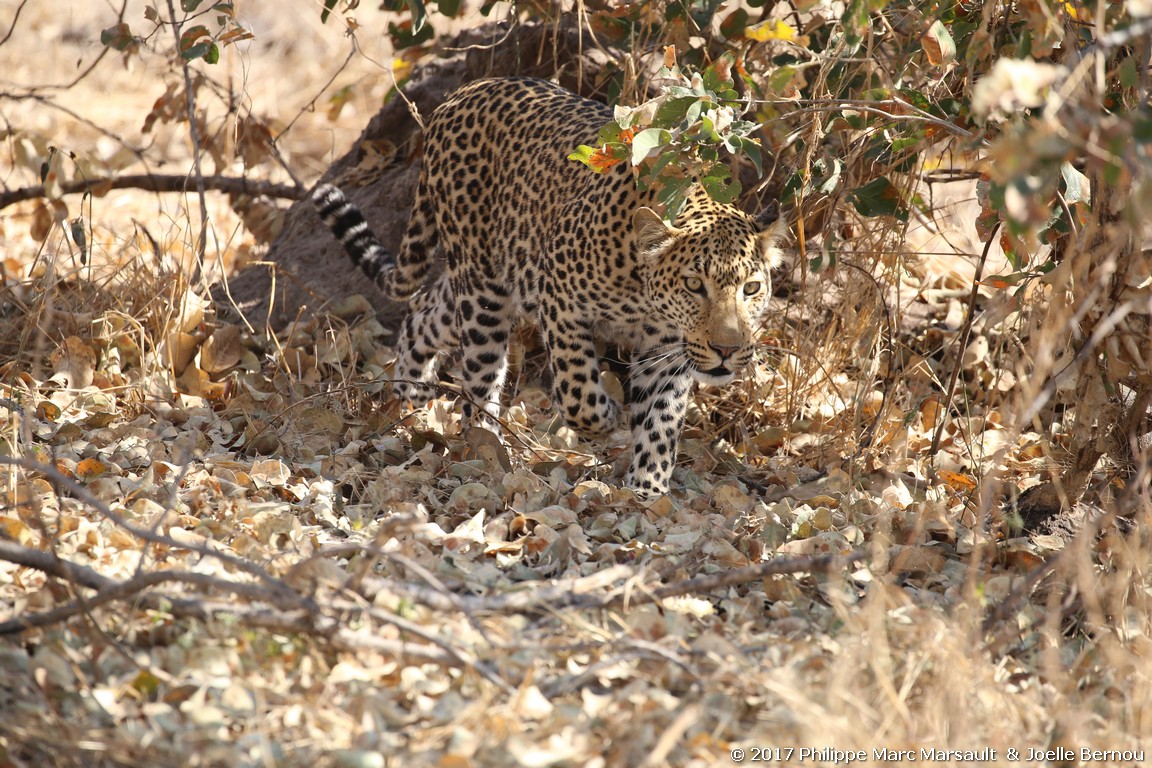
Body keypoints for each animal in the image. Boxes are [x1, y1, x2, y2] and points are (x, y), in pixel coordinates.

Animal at [311, 76, 787, 499]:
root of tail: (461, 94)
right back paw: (483, 445)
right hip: (483, 289)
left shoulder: (667, 348)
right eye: (693, 285)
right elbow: (577, 387)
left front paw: (647, 488)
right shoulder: (559, 294)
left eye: (751, 288)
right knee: (478, 378)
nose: (727, 350)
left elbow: (661, 419)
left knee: (424, 309)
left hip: (481, 279)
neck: (644, 294)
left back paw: (411, 398)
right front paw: (606, 420)